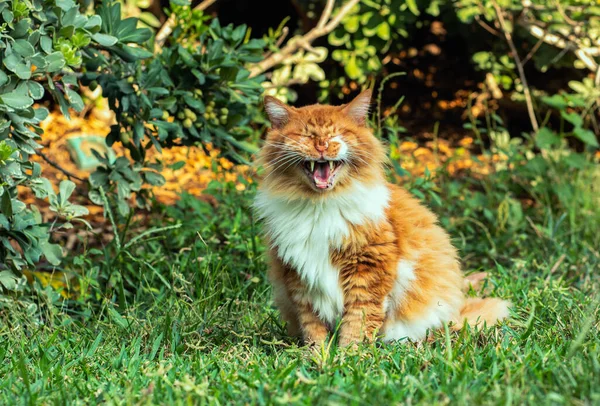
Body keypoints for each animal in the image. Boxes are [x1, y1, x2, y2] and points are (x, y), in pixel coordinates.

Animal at [253, 90, 510, 348]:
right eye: (306, 135)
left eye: (337, 134)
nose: (322, 145)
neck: (320, 207)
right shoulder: (299, 277)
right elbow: (313, 327)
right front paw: (318, 354)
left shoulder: (368, 270)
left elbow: (358, 321)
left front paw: (348, 353)